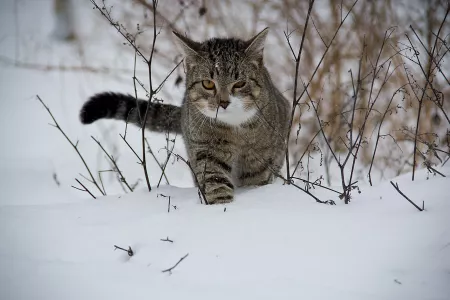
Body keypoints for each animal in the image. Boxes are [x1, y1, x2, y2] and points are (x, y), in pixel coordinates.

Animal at [80, 28, 292, 204]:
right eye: (208, 83)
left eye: (239, 83)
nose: (223, 103)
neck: (234, 128)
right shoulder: (205, 148)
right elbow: (214, 180)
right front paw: (221, 206)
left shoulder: (260, 158)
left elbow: (256, 180)